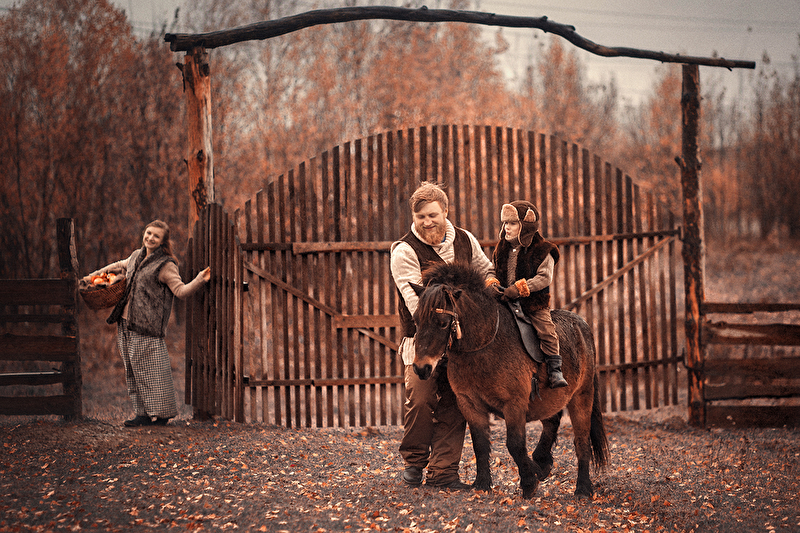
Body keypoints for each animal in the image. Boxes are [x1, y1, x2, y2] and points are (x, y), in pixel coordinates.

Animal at [410, 262, 608, 499]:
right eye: (415, 321)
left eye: (441, 323)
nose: (421, 368)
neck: (485, 345)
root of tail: (582, 325)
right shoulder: (470, 404)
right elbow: (480, 444)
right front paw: (482, 484)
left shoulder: (514, 405)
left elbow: (514, 444)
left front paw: (529, 483)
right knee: (552, 422)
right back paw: (541, 463)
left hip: (582, 396)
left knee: (581, 441)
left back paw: (583, 488)